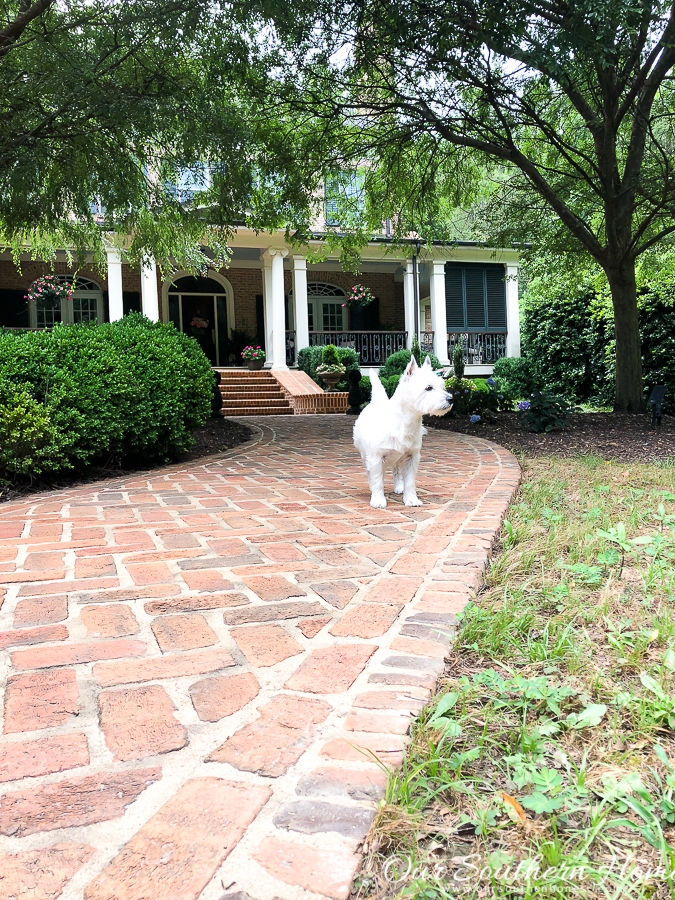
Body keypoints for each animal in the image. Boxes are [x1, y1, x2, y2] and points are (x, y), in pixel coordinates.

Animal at [354, 356, 454, 506]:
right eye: (428, 388)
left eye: (442, 386)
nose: (451, 398)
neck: (405, 422)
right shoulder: (376, 457)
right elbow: (377, 480)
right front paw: (378, 499)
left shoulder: (412, 457)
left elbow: (410, 481)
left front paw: (411, 499)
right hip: (364, 454)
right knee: (370, 472)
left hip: (398, 456)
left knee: (396, 471)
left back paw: (399, 486)